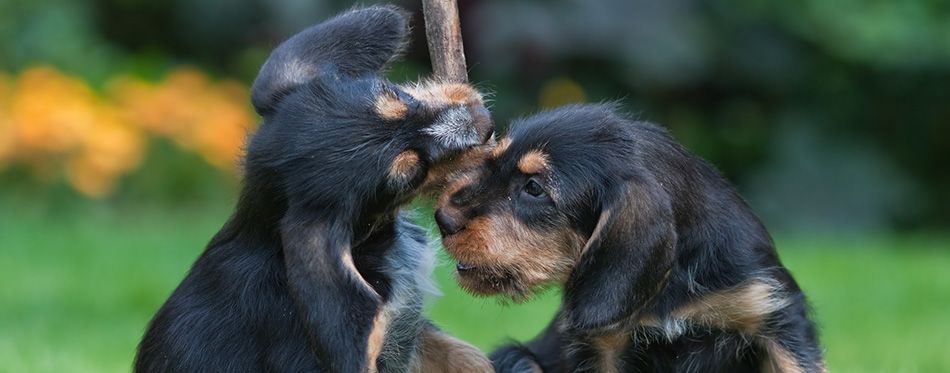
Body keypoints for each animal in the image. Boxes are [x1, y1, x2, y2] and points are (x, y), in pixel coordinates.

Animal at [436, 103, 824, 370]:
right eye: (491, 163)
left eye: (534, 188)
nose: (442, 218)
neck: (671, 285)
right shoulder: (601, 346)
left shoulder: (774, 315)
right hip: (516, 358)